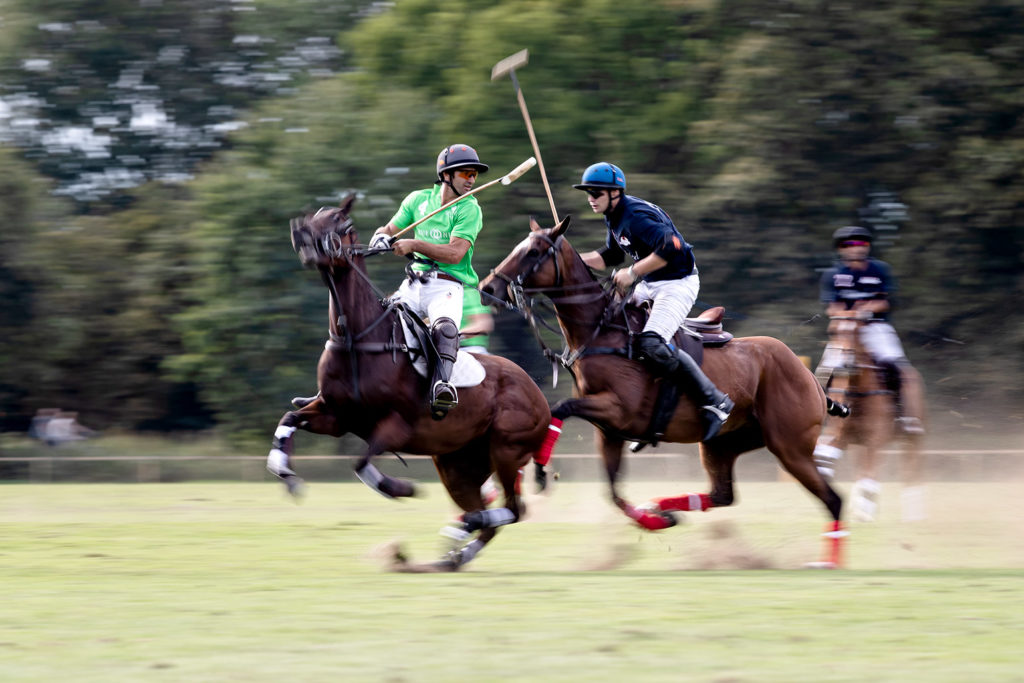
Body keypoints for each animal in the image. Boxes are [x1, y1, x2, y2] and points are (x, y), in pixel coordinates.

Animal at [266, 197, 552, 573]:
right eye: (314, 217)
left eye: (343, 224)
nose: (301, 238)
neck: (358, 338)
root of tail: (539, 395)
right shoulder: (336, 416)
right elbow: (288, 419)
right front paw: (285, 472)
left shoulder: (397, 426)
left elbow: (361, 463)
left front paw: (402, 488)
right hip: (457, 462)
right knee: (487, 511)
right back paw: (458, 552)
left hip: (507, 449)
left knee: (514, 509)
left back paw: (464, 531)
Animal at [479, 218, 847, 565]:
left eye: (533, 252)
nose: (487, 288)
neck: (600, 330)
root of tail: (809, 377)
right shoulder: (609, 430)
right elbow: (612, 490)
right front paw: (656, 521)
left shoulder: (618, 410)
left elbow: (561, 408)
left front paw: (540, 472)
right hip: (722, 444)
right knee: (723, 494)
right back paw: (659, 505)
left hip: (790, 447)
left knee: (833, 499)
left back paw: (828, 563)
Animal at [815, 313, 929, 524]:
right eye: (832, 331)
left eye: (856, 331)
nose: (842, 365)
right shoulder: (839, 437)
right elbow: (824, 456)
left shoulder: (875, 440)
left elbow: (870, 476)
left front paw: (864, 514)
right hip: (858, 447)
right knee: (861, 470)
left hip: (914, 436)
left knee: (911, 468)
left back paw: (914, 515)